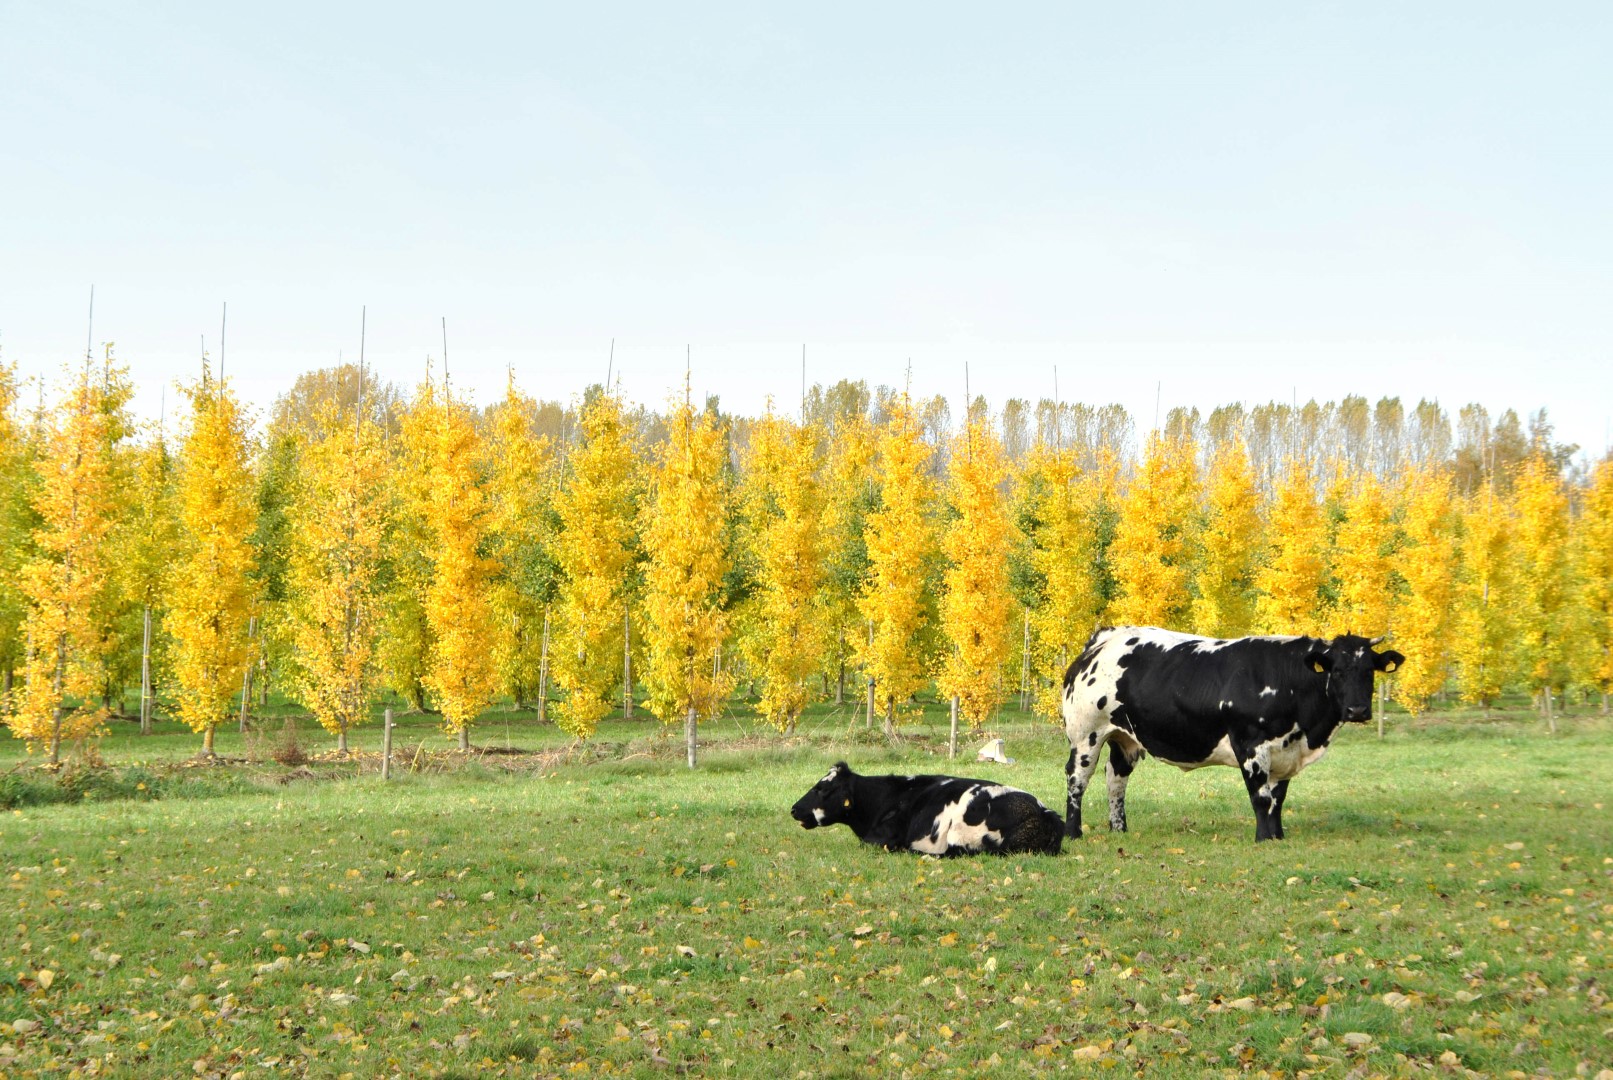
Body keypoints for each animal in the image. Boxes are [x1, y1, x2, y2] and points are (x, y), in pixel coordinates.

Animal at [1058, 625, 1400, 844]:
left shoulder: (1285, 751)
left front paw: (1278, 836)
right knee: (1077, 780)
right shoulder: (1250, 744)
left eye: (1369, 671)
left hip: (1125, 737)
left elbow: (1278, 798)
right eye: (1337, 671)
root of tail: (1104, 638)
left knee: (1116, 779)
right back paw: (1073, 833)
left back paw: (1120, 830)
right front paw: (1263, 839)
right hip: (1086, 734)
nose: (1358, 710)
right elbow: (1261, 797)